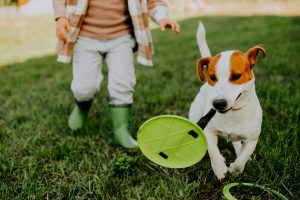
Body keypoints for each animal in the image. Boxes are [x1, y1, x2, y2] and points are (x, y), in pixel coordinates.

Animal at [189, 22, 266, 180]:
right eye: (212, 77)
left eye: (236, 76)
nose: (218, 103)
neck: (233, 113)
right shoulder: (209, 131)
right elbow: (213, 151)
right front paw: (220, 169)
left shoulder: (252, 139)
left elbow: (243, 157)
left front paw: (236, 169)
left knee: (238, 145)